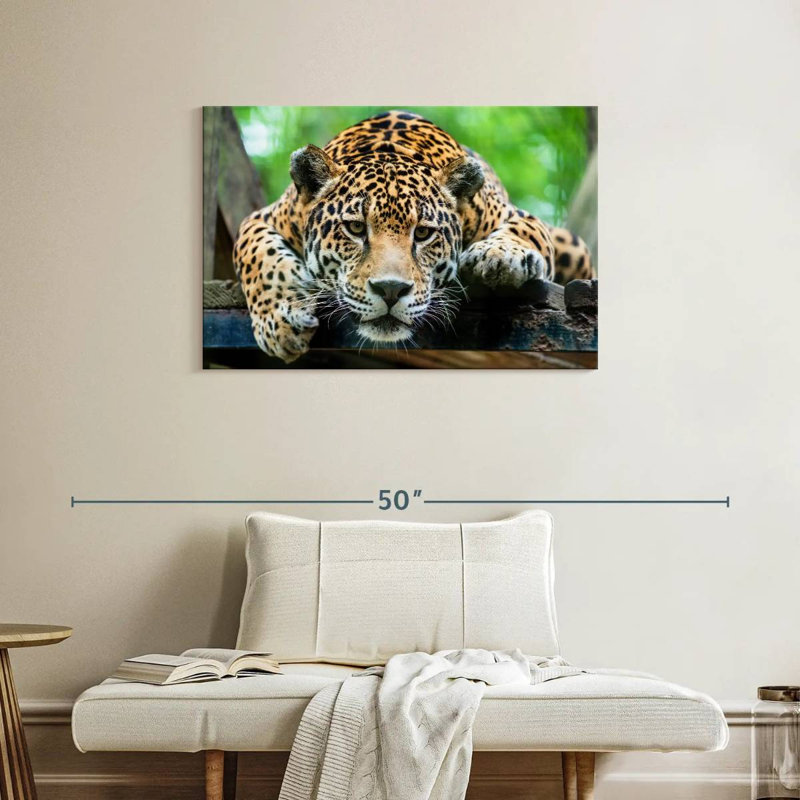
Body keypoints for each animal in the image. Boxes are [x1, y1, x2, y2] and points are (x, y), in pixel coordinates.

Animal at [233, 110, 593, 362]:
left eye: (422, 233)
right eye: (355, 228)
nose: (391, 290)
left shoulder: (514, 215)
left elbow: (525, 230)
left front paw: (500, 256)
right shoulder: (261, 218)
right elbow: (259, 257)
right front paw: (280, 322)